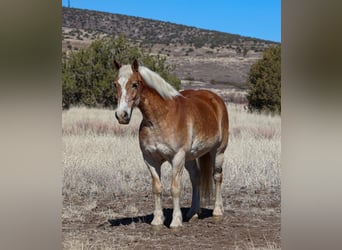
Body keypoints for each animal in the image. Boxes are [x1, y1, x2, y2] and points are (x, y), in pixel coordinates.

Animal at [113, 59, 228, 229]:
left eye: (134, 84)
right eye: (115, 84)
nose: (121, 115)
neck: (160, 117)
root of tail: (216, 99)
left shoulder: (177, 157)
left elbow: (175, 189)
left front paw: (175, 221)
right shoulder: (150, 159)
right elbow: (157, 188)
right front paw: (157, 220)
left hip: (218, 151)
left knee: (217, 176)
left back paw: (218, 211)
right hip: (190, 157)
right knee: (196, 178)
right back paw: (193, 212)